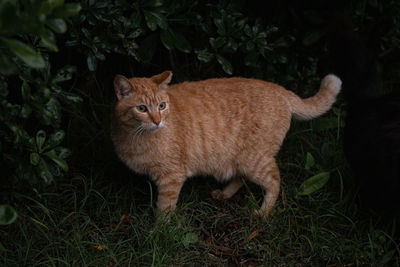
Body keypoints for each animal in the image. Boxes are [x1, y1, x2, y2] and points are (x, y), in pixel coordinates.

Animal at [110, 71, 340, 220]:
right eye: (141, 108)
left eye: (161, 105)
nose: (157, 121)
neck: (136, 137)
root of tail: (281, 90)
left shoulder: (172, 177)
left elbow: (165, 208)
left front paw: (160, 232)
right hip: (238, 158)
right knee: (241, 176)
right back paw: (225, 194)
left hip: (254, 160)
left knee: (275, 180)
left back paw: (263, 213)